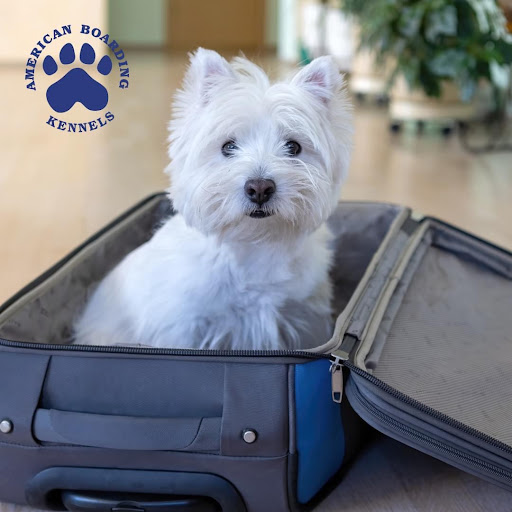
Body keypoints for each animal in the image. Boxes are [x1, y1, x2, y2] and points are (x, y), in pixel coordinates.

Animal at [73, 49, 352, 352]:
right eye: (228, 146)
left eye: (293, 147)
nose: (259, 188)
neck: (253, 249)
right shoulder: (182, 328)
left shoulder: (304, 320)